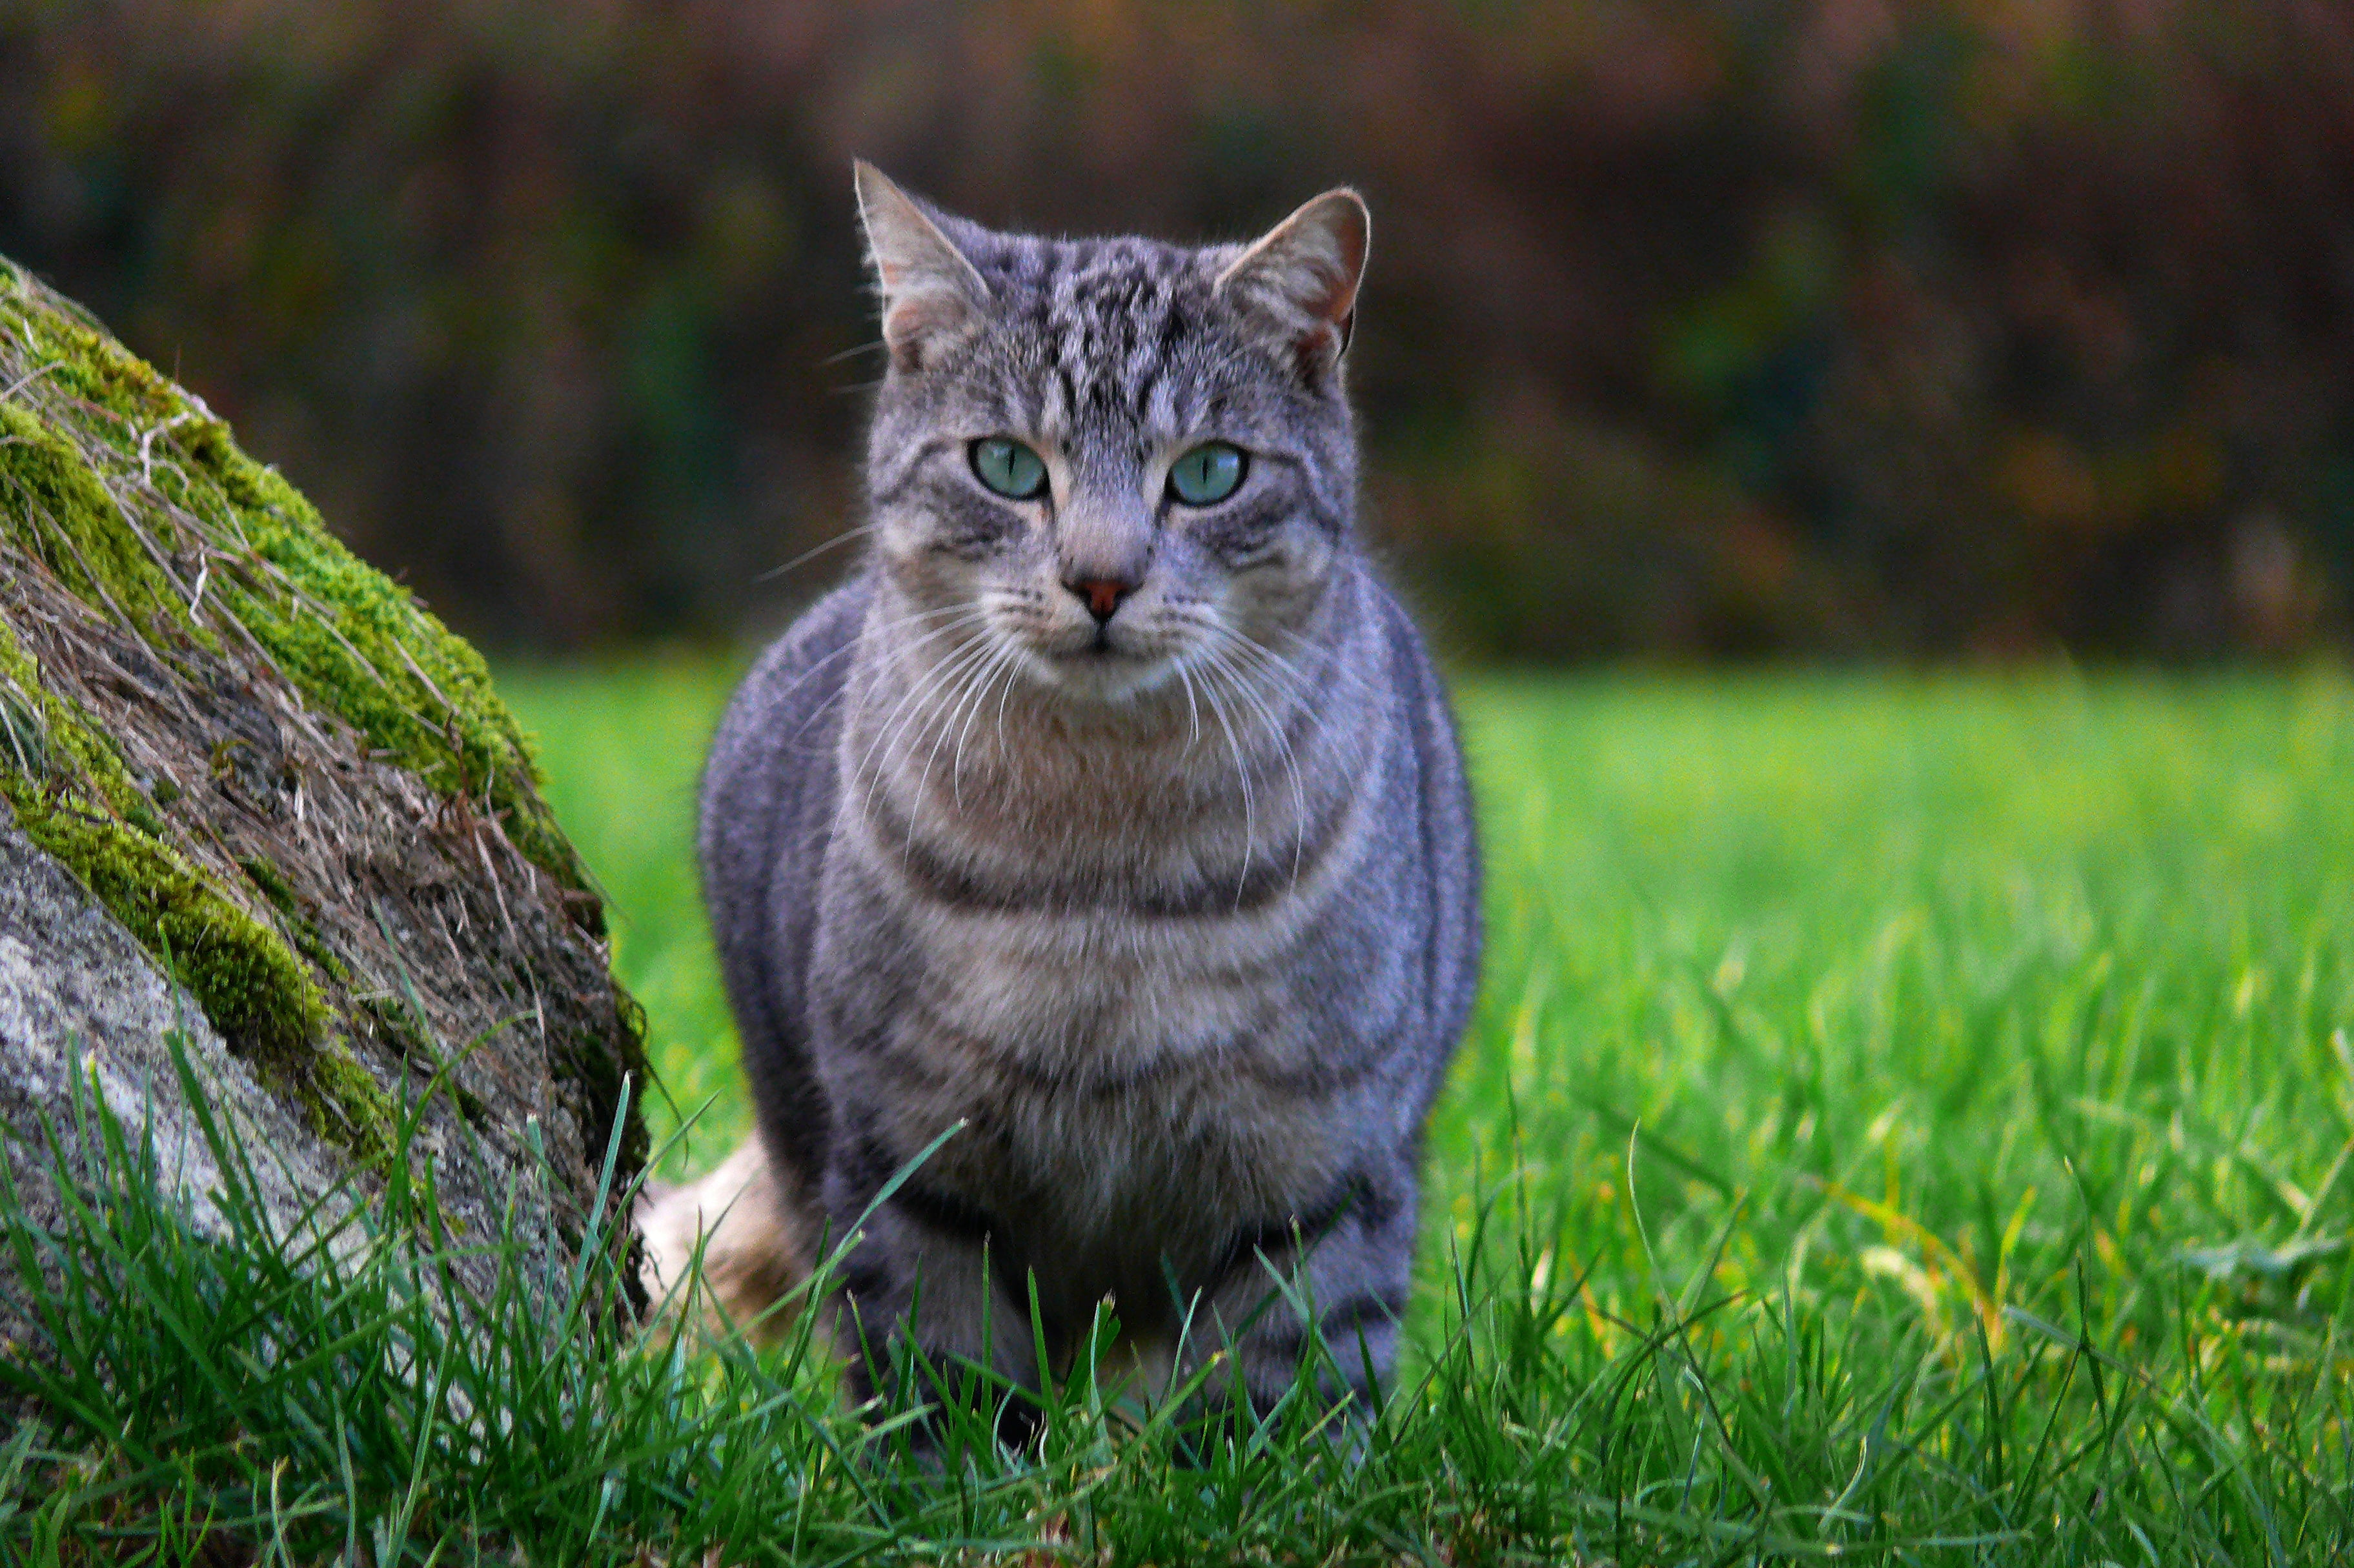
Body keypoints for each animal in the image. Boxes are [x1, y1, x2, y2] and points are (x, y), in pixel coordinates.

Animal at [645, 165, 1478, 1422]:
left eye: (1209, 473)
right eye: (1005, 465)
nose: (1099, 579)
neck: (1102, 862)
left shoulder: (1320, 1178)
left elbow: (1276, 1400)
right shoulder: (910, 1169)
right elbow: (941, 1390)